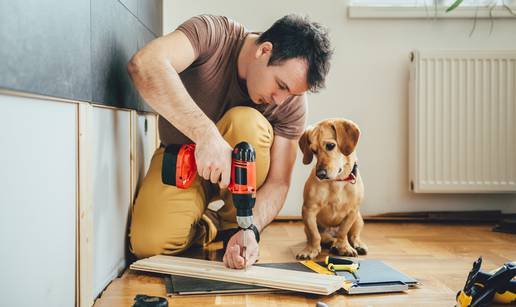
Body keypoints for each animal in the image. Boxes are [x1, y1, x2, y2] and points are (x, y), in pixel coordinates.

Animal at [294, 118, 366, 260]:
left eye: (330, 146)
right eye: (313, 151)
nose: (320, 174)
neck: (337, 181)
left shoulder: (352, 212)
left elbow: (343, 232)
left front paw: (344, 247)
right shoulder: (308, 210)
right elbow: (315, 235)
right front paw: (311, 250)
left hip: (358, 219)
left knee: (353, 235)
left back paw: (357, 245)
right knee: (324, 237)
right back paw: (331, 243)